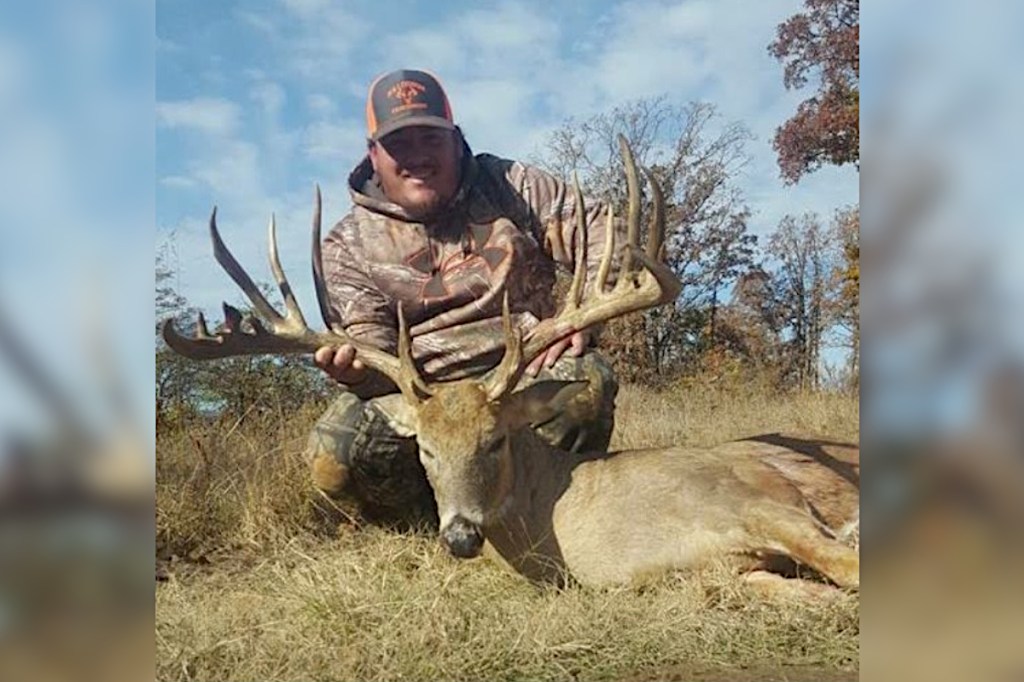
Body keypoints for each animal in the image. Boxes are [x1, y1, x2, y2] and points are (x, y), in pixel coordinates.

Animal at [163, 136, 859, 593]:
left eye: (495, 440)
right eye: (425, 450)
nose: (460, 537)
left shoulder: (753, 496)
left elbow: (846, 563)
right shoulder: (733, 573)